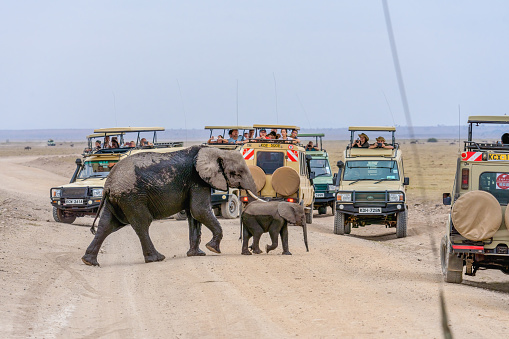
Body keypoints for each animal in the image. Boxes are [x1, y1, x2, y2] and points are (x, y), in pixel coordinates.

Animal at [84, 145, 258, 266]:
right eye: (237, 173)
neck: (217, 151)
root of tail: (107, 185)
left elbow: (194, 216)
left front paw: (197, 254)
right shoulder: (197, 180)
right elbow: (199, 210)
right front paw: (212, 249)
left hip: (117, 200)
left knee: (106, 225)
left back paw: (89, 262)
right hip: (132, 197)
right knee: (142, 223)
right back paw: (157, 258)